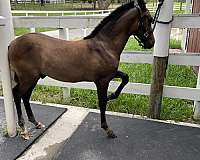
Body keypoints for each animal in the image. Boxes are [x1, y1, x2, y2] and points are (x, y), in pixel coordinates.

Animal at [7, 0, 155, 139]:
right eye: (149, 19)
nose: (151, 43)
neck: (104, 46)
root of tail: (12, 43)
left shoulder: (110, 75)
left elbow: (125, 77)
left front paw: (111, 96)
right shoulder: (102, 81)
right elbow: (102, 103)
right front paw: (107, 129)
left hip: (34, 78)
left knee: (25, 97)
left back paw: (36, 123)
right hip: (28, 78)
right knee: (17, 95)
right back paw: (24, 128)